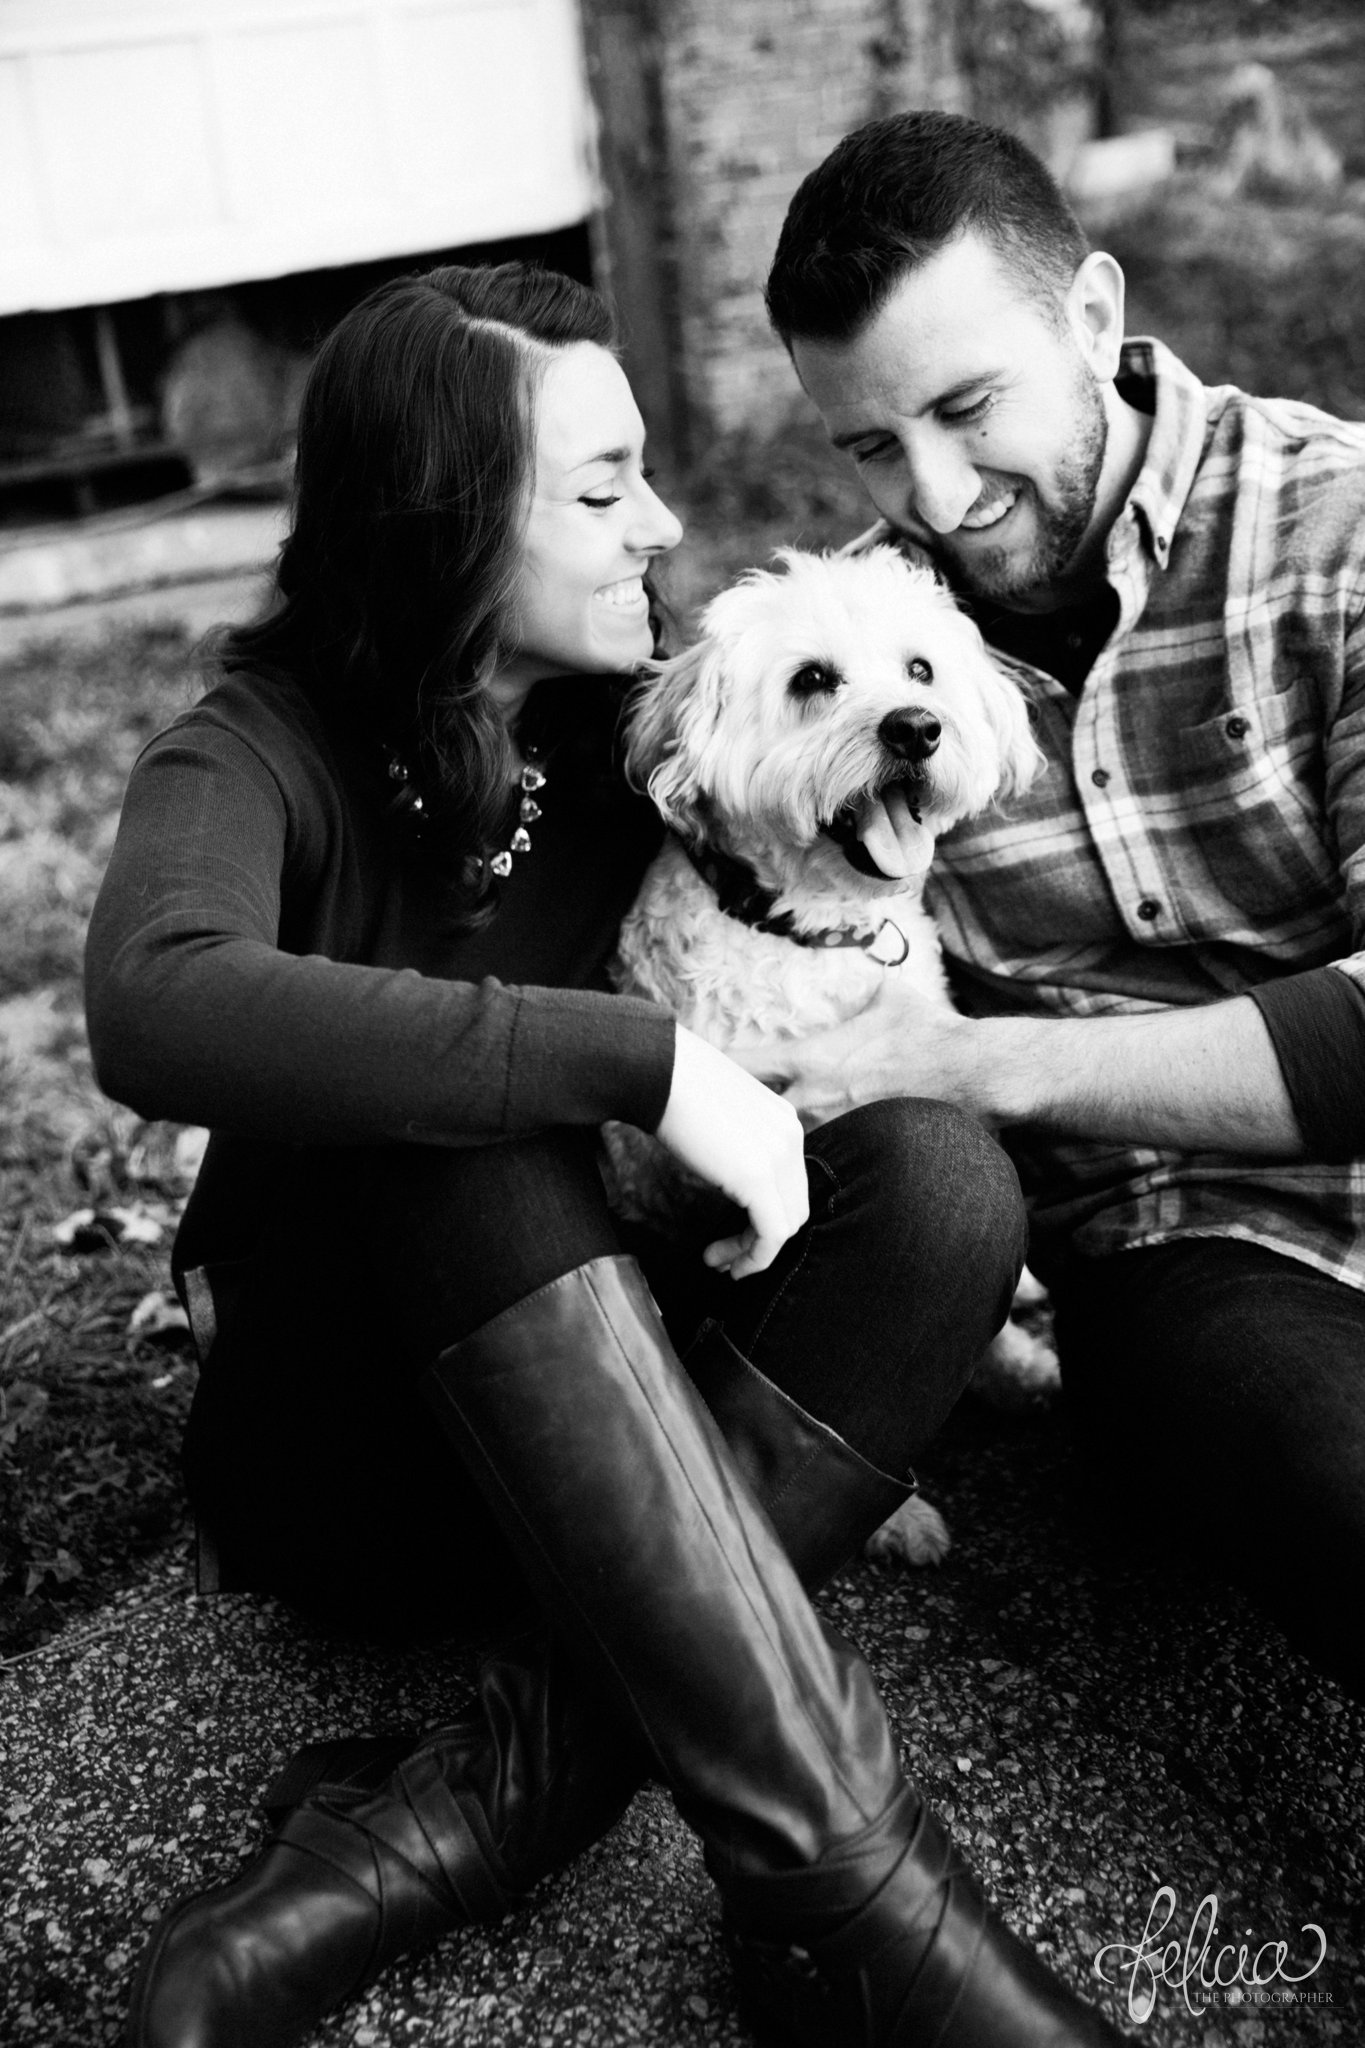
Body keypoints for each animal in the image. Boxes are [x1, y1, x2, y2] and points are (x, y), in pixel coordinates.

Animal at [609, 544, 1064, 1564]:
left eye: (921, 670)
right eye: (812, 681)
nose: (916, 729)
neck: (811, 931)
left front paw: (1014, 1340)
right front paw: (896, 1517)